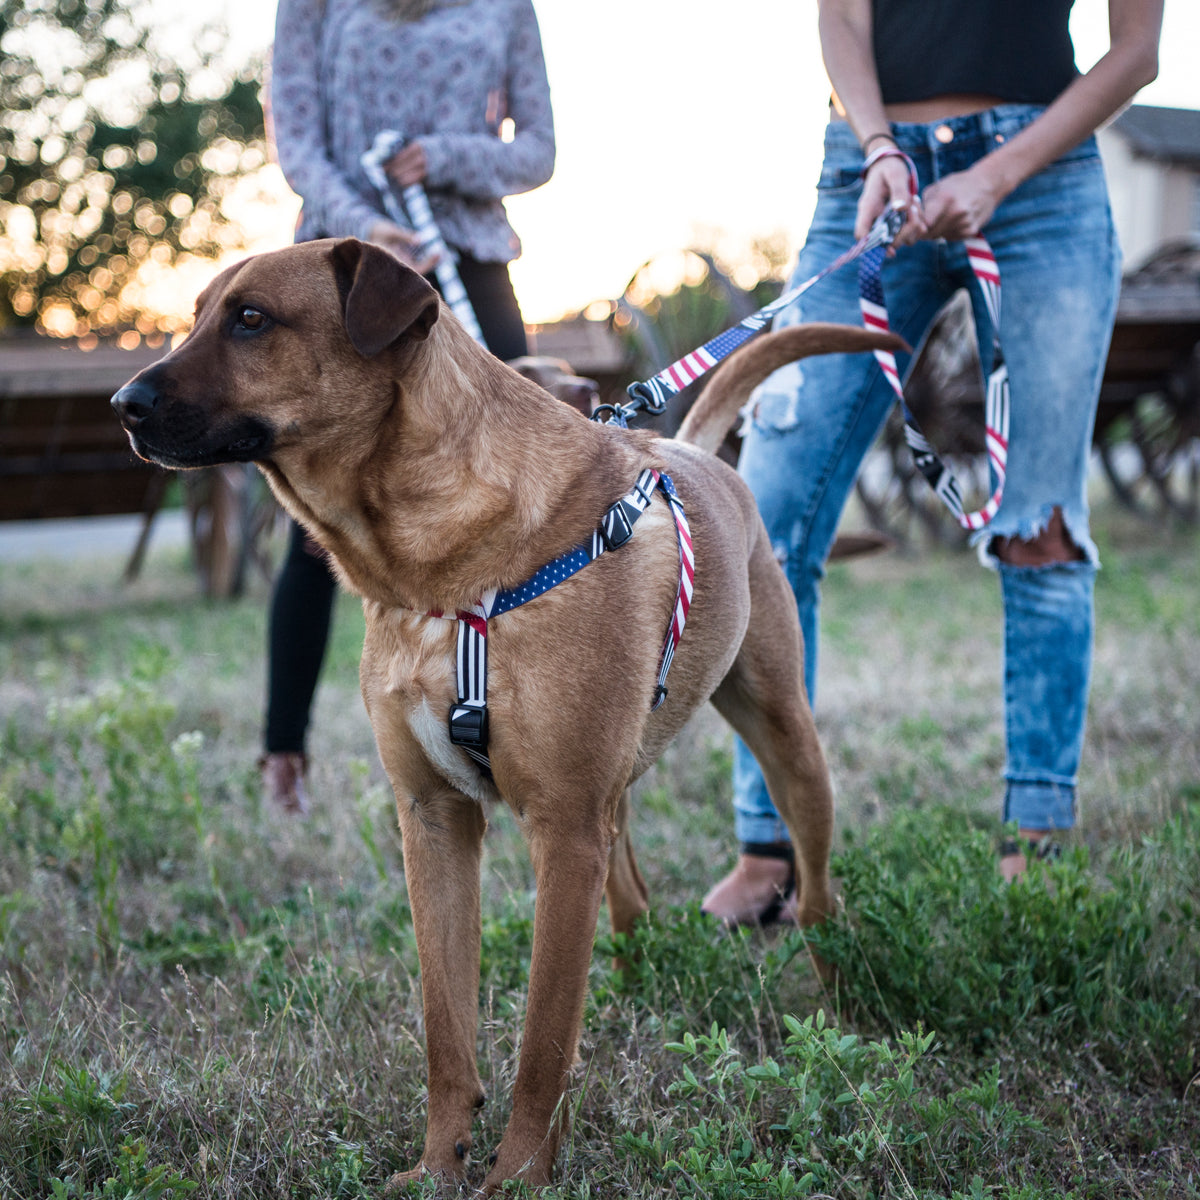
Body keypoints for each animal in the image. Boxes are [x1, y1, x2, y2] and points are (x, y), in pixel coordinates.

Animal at [110, 238, 902, 1195]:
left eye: (252, 319)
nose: (121, 405)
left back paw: (838, 998)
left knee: (817, 891)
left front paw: (519, 1173)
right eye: (195, 314)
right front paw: (437, 1164)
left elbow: (542, 1038)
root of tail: (692, 449)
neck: (436, 574)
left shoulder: (562, 828)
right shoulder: (437, 821)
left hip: (784, 740)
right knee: (631, 898)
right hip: (615, 798)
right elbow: (447, 1030)